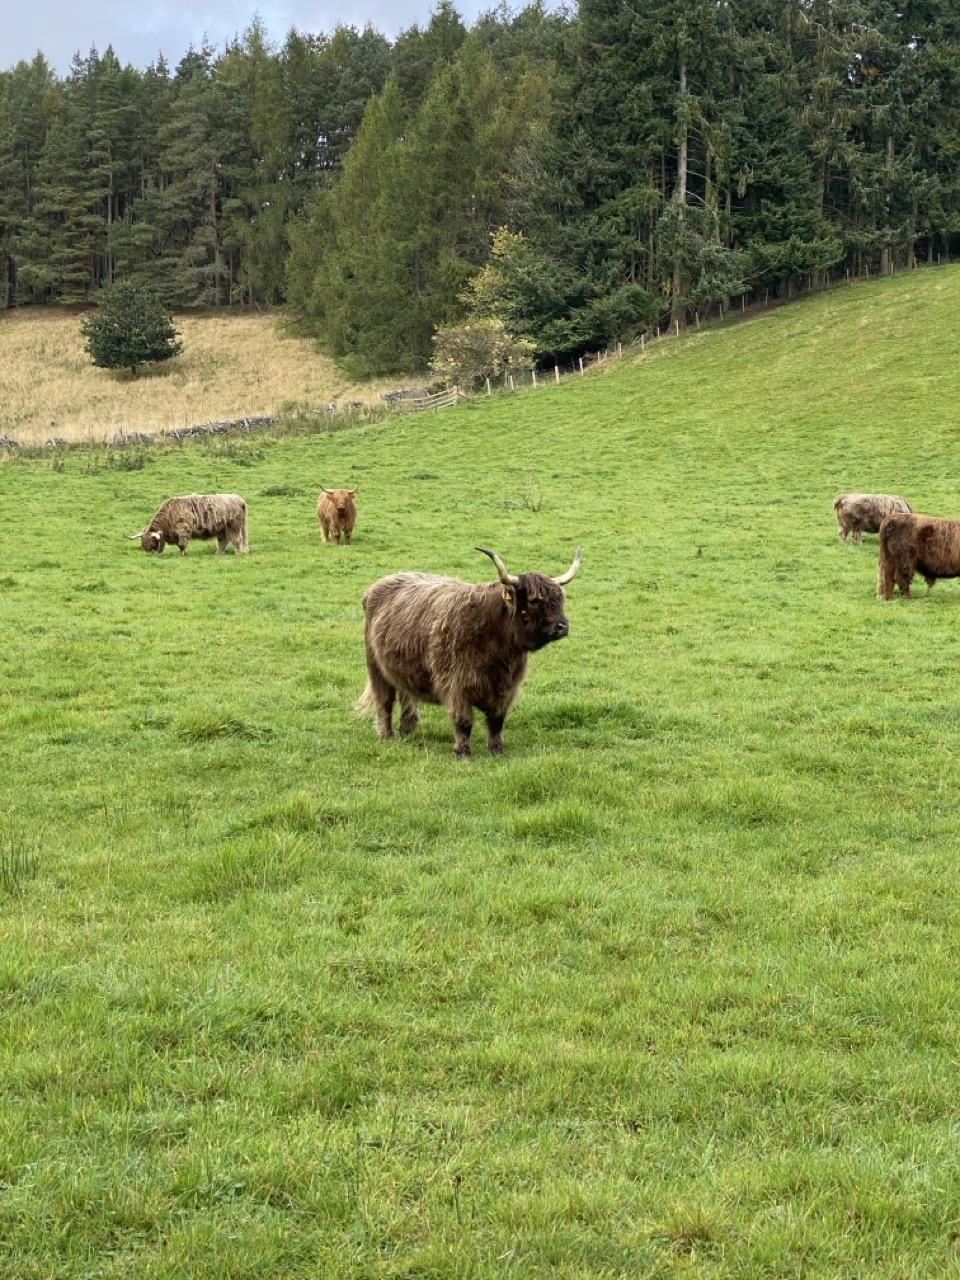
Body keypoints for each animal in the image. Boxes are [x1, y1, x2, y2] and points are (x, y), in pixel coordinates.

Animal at [358, 542, 578, 757]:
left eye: (560, 599)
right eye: (534, 601)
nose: (563, 626)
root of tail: (380, 584)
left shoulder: (507, 686)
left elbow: (497, 720)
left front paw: (497, 750)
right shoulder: (456, 683)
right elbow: (463, 720)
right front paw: (462, 751)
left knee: (406, 694)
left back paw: (407, 728)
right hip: (376, 666)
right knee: (384, 701)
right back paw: (387, 735)